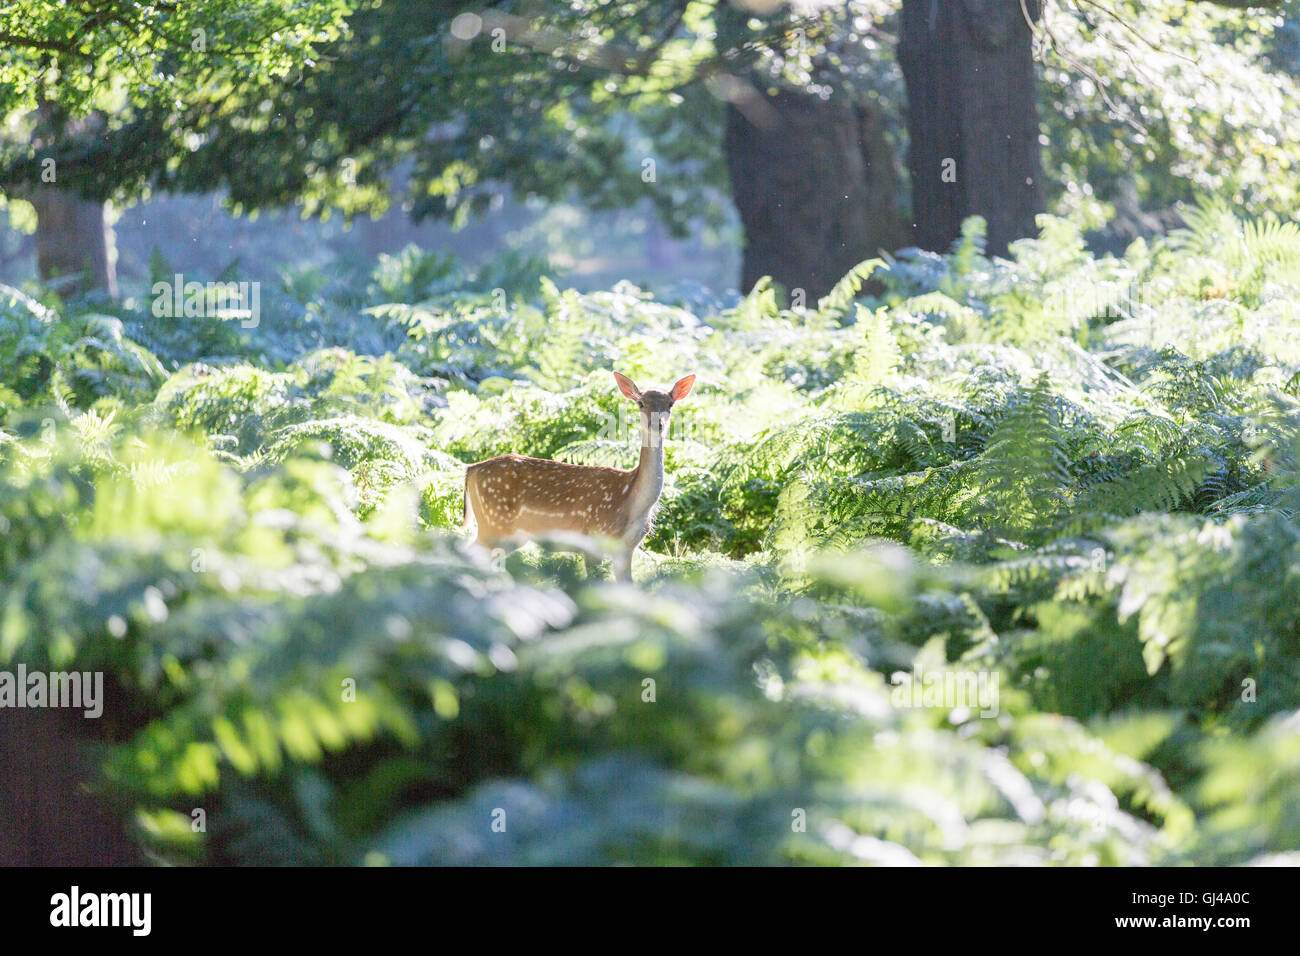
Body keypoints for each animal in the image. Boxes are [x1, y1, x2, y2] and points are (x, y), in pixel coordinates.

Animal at [462, 371, 696, 582]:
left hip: (511, 534)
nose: (657, 424)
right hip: (494, 520)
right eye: (640, 402)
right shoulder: (593, 537)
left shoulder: (627, 547)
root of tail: (471, 470)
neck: (632, 499)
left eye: (670, 404)